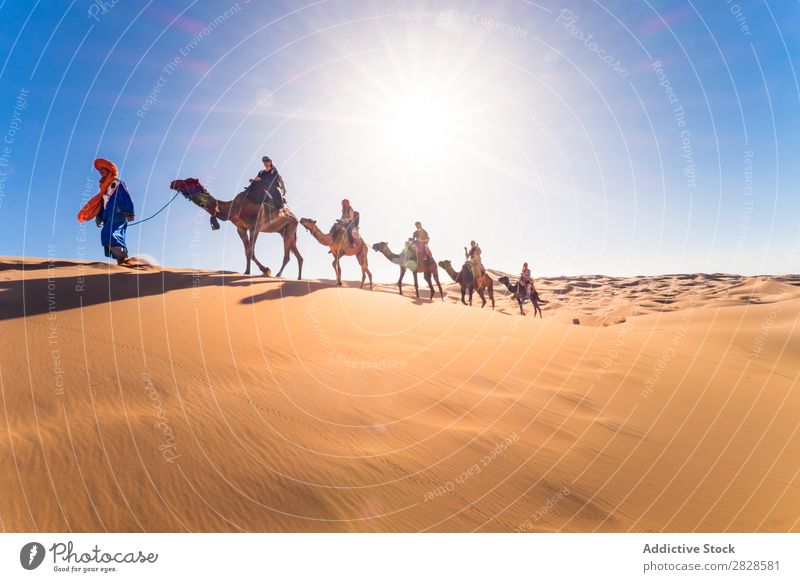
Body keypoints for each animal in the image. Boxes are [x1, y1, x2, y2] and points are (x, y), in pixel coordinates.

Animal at [169, 178, 304, 278]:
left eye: (189, 181)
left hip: (290, 227)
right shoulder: (241, 228)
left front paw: (266, 270)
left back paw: (278, 275)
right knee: (297, 255)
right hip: (285, 231)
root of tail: (295, 217)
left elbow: (251, 252)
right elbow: (246, 252)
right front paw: (247, 272)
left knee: (287, 256)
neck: (234, 207)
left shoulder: (254, 226)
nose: (173, 182)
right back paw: (298, 278)